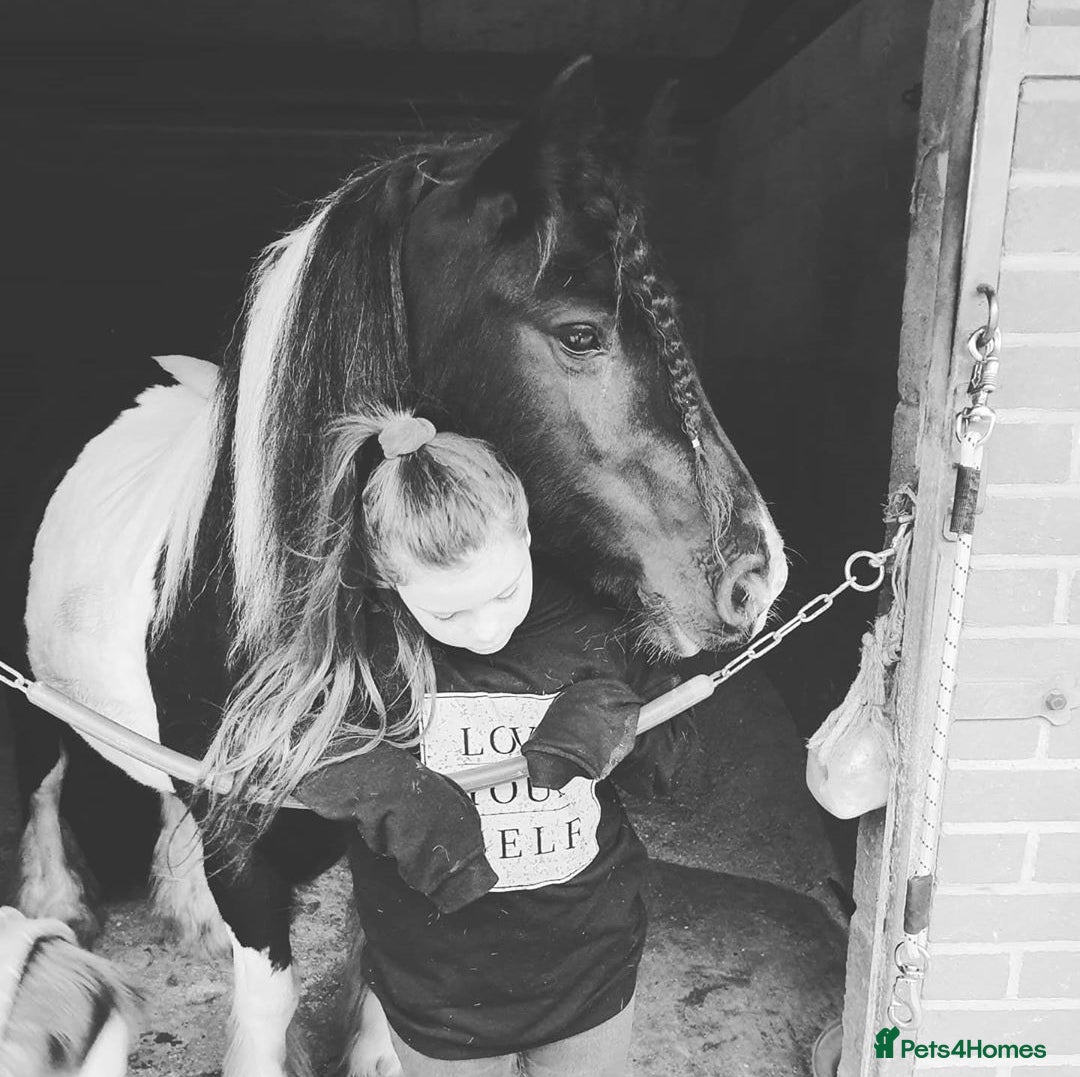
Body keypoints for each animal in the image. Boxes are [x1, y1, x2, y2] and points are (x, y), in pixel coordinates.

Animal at [14, 59, 788, 1077]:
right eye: (582, 332)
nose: (756, 576)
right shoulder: (245, 850)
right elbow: (266, 996)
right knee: (46, 770)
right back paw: (60, 906)